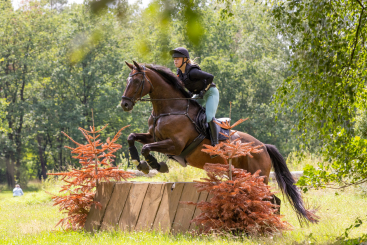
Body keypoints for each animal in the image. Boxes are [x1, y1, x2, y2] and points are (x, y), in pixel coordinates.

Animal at [121, 60, 320, 225]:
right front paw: (140, 163)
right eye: (127, 80)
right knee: (269, 200)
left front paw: (156, 165)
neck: (170, 109)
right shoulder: (154, 137)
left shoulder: (175, 145)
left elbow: (147, 148)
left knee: (273, 200)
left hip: (257, 177)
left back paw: (271, 227)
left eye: (137, 81)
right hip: (243, 176)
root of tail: (263, 146)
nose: (124, 105)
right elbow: (132, 137)